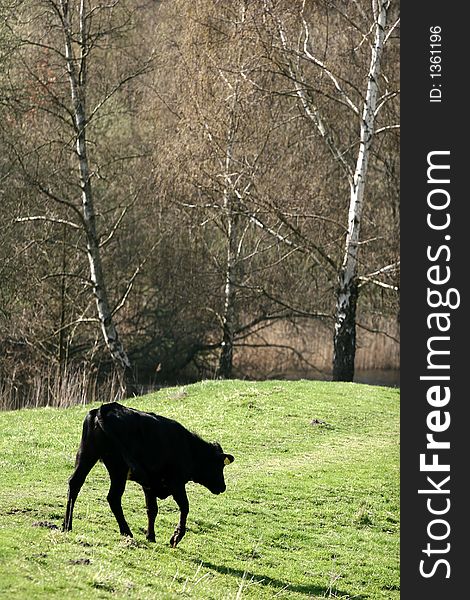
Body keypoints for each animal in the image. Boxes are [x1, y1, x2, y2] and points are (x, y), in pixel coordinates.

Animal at [63, 400, 235, 548]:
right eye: (219, 466)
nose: (222, 486)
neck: (189, 448)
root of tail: (105, 408)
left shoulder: (149, 484)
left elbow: (152, 510)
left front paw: (151, 536)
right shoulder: (176, 482)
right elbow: (185, 507)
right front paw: (176, 537)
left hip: (87, 454)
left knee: (75, 483)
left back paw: (67, 525)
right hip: (118, 468)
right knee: (113, 497)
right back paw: (126, 531)